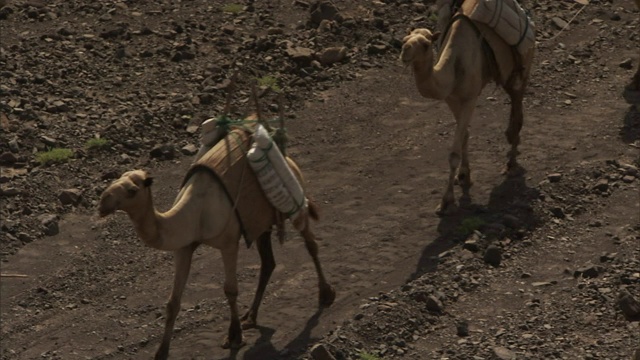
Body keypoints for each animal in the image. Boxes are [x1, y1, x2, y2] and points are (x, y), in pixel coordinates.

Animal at [99, 164, 336, 360]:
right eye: (112, 182)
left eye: (132, 190)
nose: (102, 203)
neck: (194, 213)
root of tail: (290, 161)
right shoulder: (184, 247)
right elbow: (173, 302)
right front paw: (161, 353)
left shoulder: (228, 243)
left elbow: (230, 289)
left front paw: (234, 337)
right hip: (261, 222)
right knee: (268, 262)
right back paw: (250, 317)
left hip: (293, 202)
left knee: (310, 244)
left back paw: (326, 294)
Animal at [400, 0, 536, 214]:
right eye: (404, 39)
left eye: (425, 44)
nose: (404, 50)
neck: (453, 67)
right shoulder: (452, 99)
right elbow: (465, 134)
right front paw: (464, 175)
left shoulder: (470, 98)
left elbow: (453, 154)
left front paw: (446, 201)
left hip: (524, 64)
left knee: (517, 102)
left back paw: (512, 160)